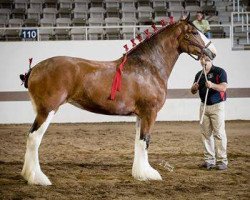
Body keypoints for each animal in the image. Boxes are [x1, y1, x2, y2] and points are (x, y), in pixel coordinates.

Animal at [20, 16, 217, 186]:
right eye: (193, 32)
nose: (213, 52)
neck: (149, 67)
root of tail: (34, 69)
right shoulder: (150, 113)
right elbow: (145, 141)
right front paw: (148, 174)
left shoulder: (140, 115)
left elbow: (138, 142)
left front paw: (139, 173)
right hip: (47, 110)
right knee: (34, 138)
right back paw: (38, 178)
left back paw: (27, 175)